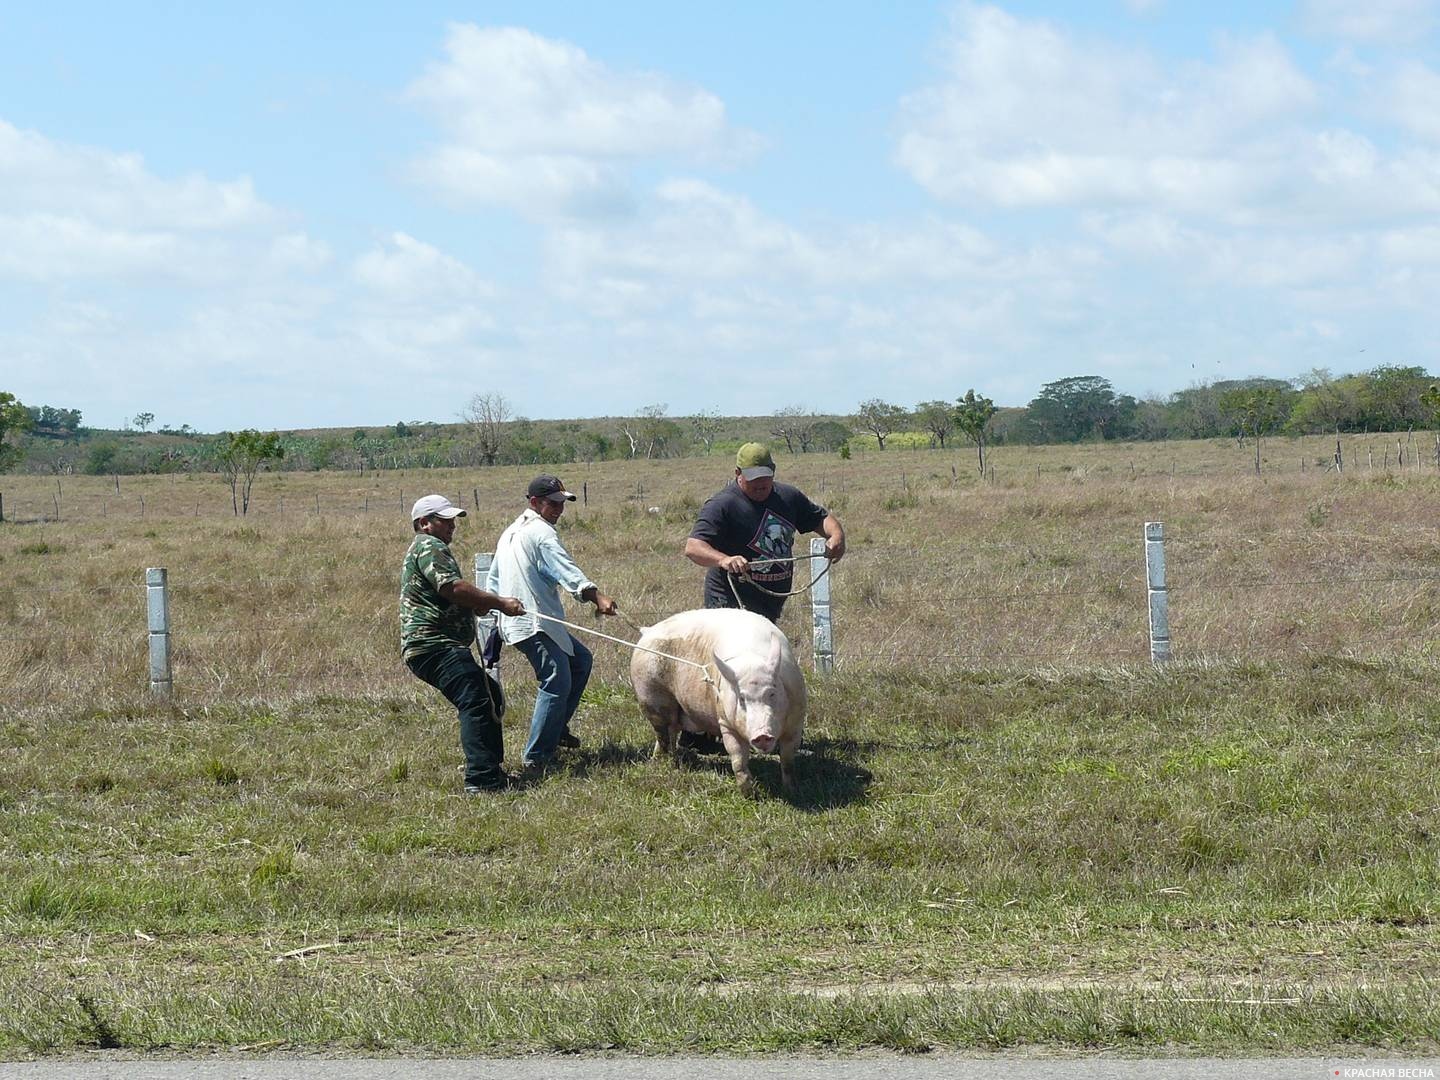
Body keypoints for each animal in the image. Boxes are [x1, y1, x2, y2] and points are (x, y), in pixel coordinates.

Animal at [633, 613, 812, 800]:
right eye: (741, 698)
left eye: (772, 693)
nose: (762, 735)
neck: (751, 661)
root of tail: (647, 630)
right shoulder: (726, 722)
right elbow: (738, 758)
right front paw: (751, 796)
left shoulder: (796, 721)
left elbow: (788, 760)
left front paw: (792, 791)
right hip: (650, 695)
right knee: (663, 735)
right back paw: (663, 765)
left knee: (672, 732)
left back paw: (671, 763)